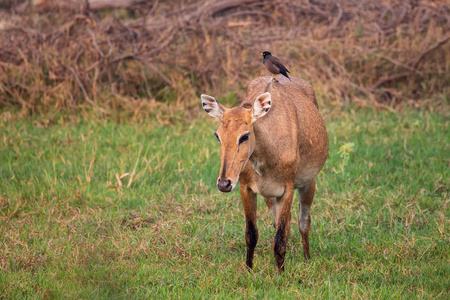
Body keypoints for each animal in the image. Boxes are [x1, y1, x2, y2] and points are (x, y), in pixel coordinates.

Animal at [200, 75, 326, 272]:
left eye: (244, 135)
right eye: (217, 135)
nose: (224, 184)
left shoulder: (288, 188)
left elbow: (281, 237)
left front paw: (281, 273)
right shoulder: (247, 187)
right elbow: (251, 233)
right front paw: (249, 269)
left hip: (308, 182)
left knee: (303, 221)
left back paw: (306, 258)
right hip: (269, 196)